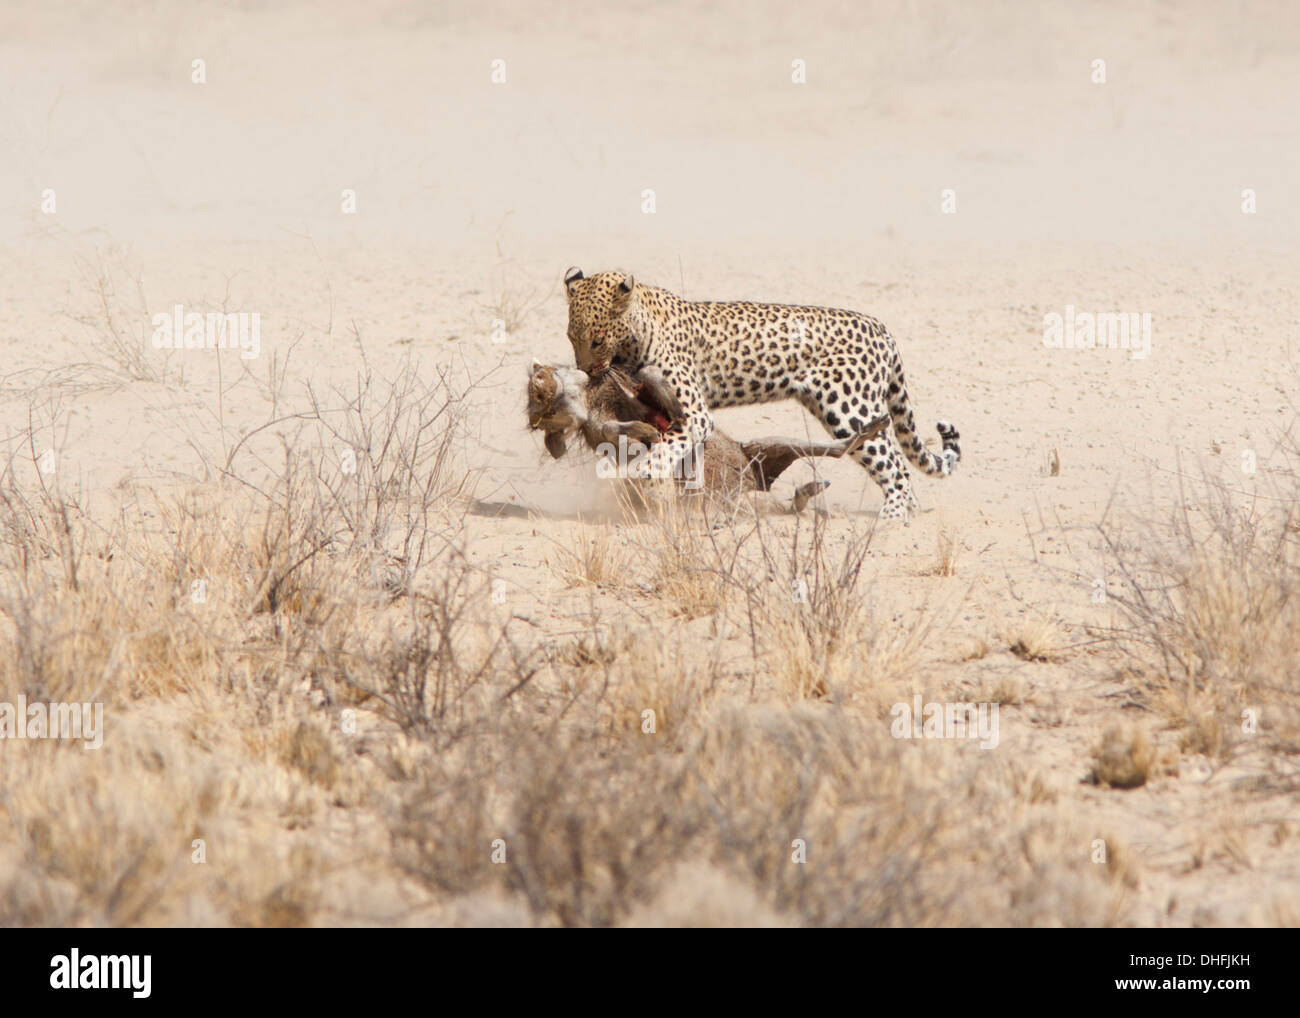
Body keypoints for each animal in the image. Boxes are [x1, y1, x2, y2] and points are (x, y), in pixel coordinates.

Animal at [564, 266, 961, 522]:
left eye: (596, 339)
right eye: (571, 337)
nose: (585, 370)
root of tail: (880, 328)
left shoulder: (695, 414)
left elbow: (668, 444)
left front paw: (649, 470)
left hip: (850, 407)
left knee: (894, 464)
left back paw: (892, 517)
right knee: (893, 458)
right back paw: (906, 513)